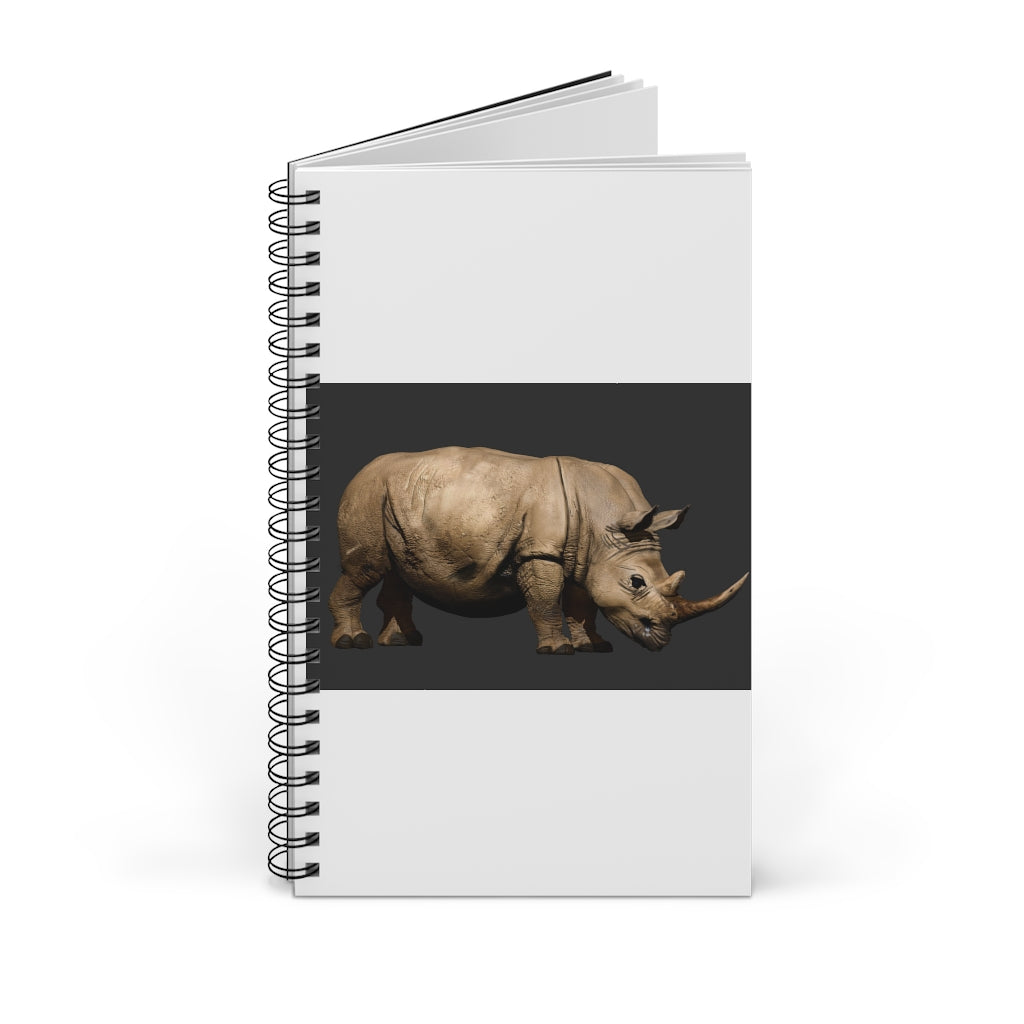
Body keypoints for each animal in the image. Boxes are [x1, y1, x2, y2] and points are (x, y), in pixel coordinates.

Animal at [328, 447, 747, 654]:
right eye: (636, 582)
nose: (661, 641)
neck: (608, 524)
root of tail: (363, 470)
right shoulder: (540, 551)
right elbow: (546, 601)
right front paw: (558, 650)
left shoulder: (584, 556)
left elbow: (581, 603)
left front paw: (595, 647)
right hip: (368, 495)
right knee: (366, 568)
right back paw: (354, 643)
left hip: (402, 499)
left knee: (397, 570)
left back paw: (405, 641)